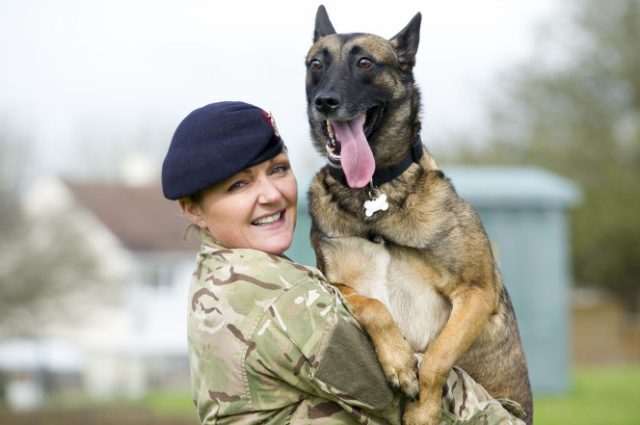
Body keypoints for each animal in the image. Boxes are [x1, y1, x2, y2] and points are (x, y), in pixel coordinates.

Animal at [302, 6, 532, 424]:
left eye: (365, 62)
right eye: (316, 64)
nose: (325, 101)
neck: (373, 196)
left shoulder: (476, 293)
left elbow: (438, 358)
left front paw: (423, 409)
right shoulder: (337, 284)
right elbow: (373, 306)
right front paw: (398, 363)